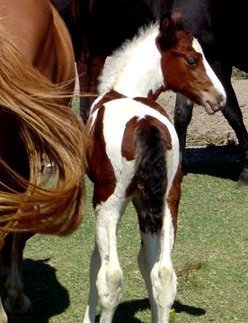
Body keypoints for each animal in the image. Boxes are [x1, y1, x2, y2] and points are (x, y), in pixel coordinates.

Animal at [83, 12, 225, 323]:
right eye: (192, 59)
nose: (220, 98)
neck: (126, 91)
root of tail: (144, 123)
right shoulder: (145, 201)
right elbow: (147, 262)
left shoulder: (106, 203)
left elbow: (97, 262)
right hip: (169, 200)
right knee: (165, 274)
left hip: (109, 203)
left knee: (111, 276)